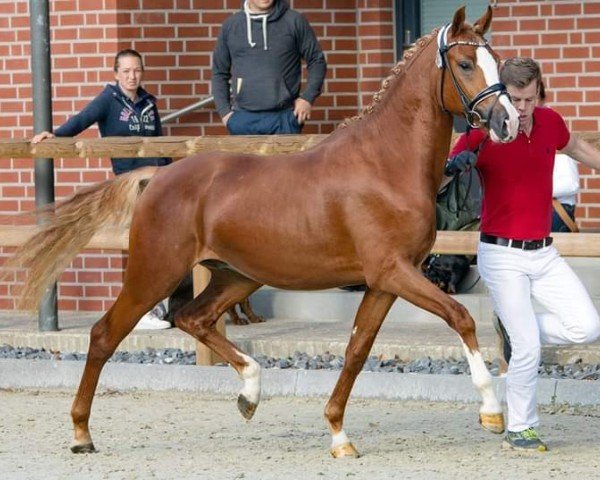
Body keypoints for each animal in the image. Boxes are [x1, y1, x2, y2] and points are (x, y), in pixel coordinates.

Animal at [9, 6, 516, 458]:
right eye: (465, 64)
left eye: (497, 58)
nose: (508, 121)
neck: (384, 164)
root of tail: (156, 176)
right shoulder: (393, 271)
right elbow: (461, 317)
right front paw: (492, 412)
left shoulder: (385, 281)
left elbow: (357, 349)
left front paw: (338, 435)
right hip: (155, 272)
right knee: (104, 334)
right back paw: (81, 434)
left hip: (237, 276)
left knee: (194, 318)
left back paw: (250, 392)